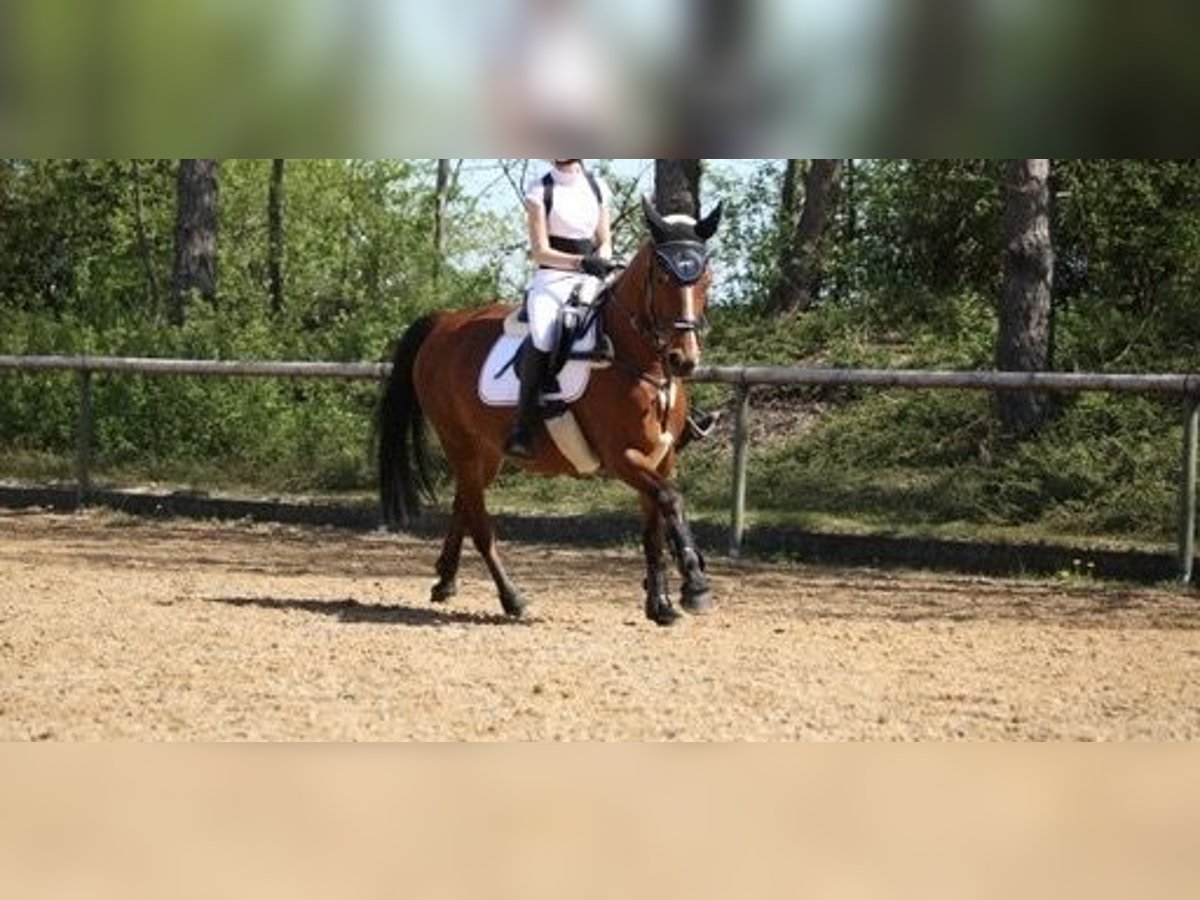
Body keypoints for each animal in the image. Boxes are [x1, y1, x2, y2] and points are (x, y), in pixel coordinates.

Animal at [374, 199, 720, 628]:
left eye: (706, 278)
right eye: (662, 275)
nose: (683, 359)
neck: (639, 361)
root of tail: (446, 322)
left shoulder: (660, 456)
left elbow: (654, 527)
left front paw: (660, 605)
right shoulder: (622, 457)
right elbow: (671, 499)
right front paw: (695, 585)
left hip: (487, 452)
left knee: (464, 504)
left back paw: (445, 580)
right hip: (460, 442)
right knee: (481, 524)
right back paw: (512, 598)